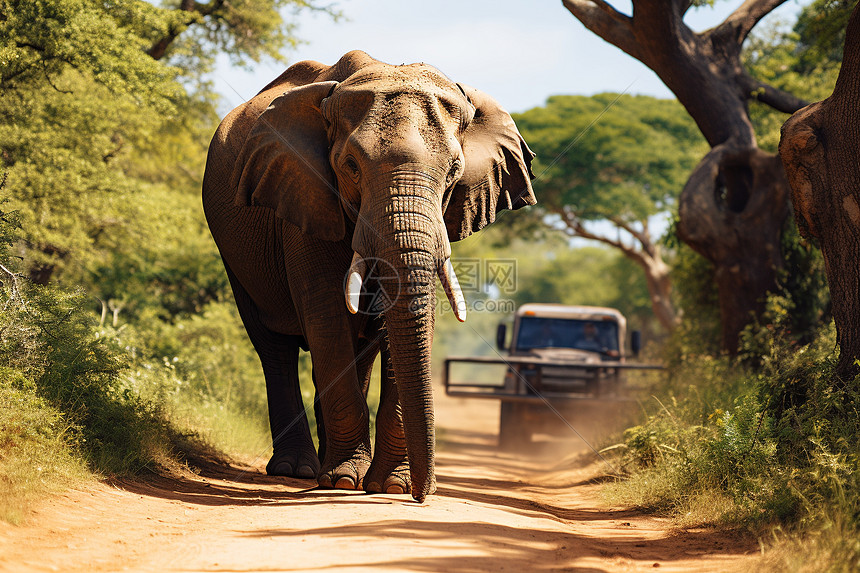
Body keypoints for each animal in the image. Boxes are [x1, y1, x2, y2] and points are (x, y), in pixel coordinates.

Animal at [204, 52, 536, 500]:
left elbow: (412, 317)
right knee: (274, 347)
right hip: (235, 253)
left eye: (454, 171)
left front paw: (390, 486)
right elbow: (327, 311)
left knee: (355, 352)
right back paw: (301, 471)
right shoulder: (304, 193)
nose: (424, 494)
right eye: (350, 167)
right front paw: (345, 481)